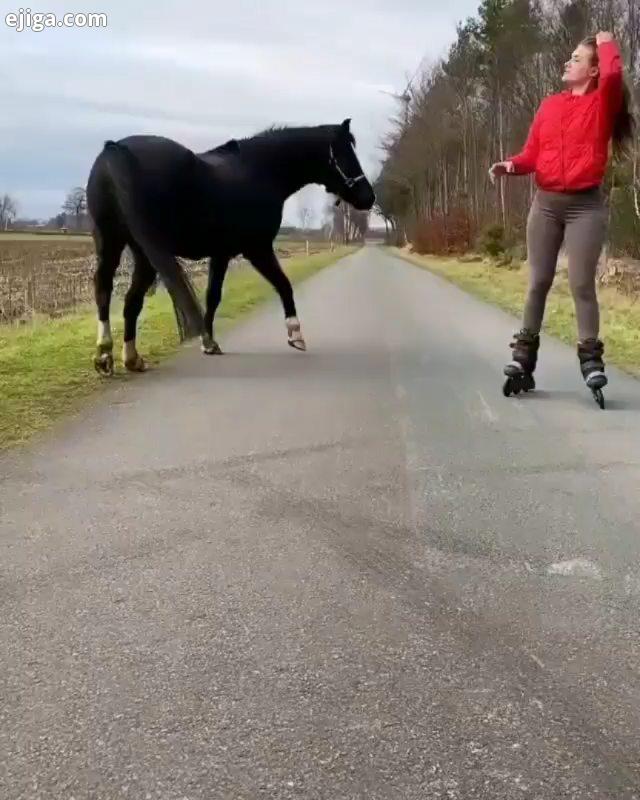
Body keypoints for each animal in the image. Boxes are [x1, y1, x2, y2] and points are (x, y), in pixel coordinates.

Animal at [85, 119, 376, 376]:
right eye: (345, 154)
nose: (368, 197)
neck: (260, 171)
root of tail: (115, 149)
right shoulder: (257, 249)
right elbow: (283, 285)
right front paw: (295, 334)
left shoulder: (221, 254)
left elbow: (212, 297)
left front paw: (208, 342)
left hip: (130, 247)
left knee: (118, 295)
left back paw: (117, 357)